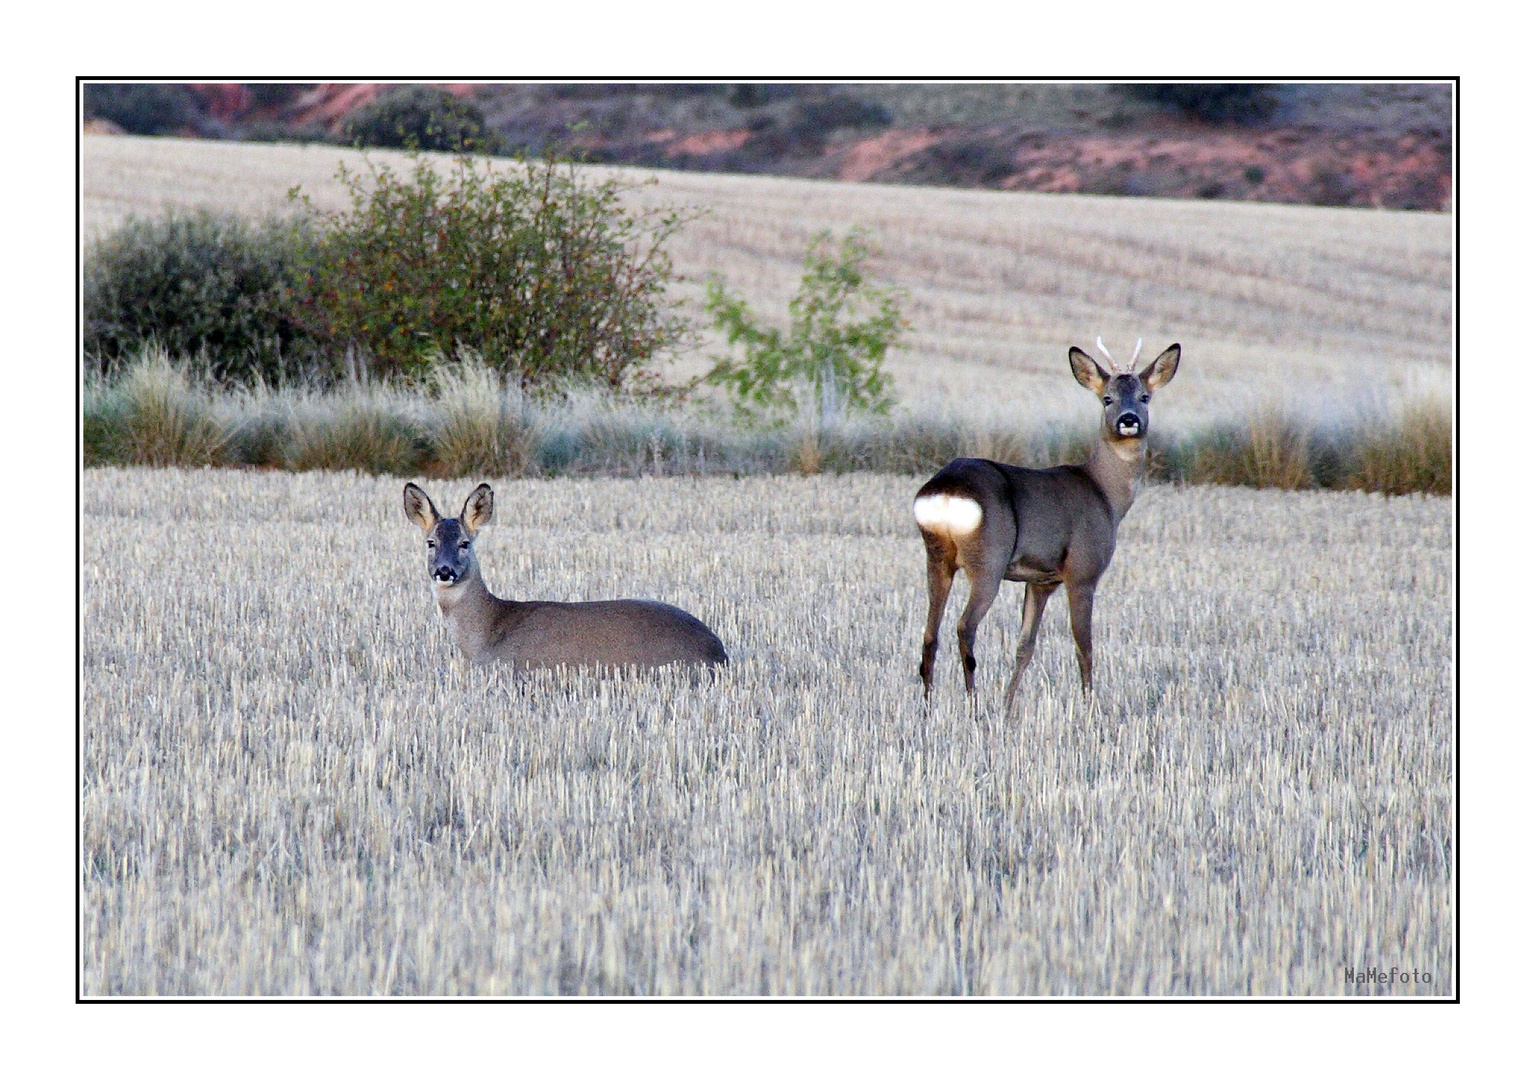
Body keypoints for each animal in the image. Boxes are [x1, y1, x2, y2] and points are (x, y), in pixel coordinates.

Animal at [915, 339, 1179, 709]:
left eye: (1144, 396)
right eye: (1107, 397)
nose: (1129, 420)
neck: (1106, 494)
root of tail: (947, 490)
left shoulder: (1040, 580)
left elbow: (1025, 647)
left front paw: (1008, 705)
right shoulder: (1082, 571)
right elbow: (1084, 646)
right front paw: (1089, 705)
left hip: (936, 555)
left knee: (930, 634)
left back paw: (927, 707)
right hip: (988, 559)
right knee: (965, 627)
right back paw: (973, 703)